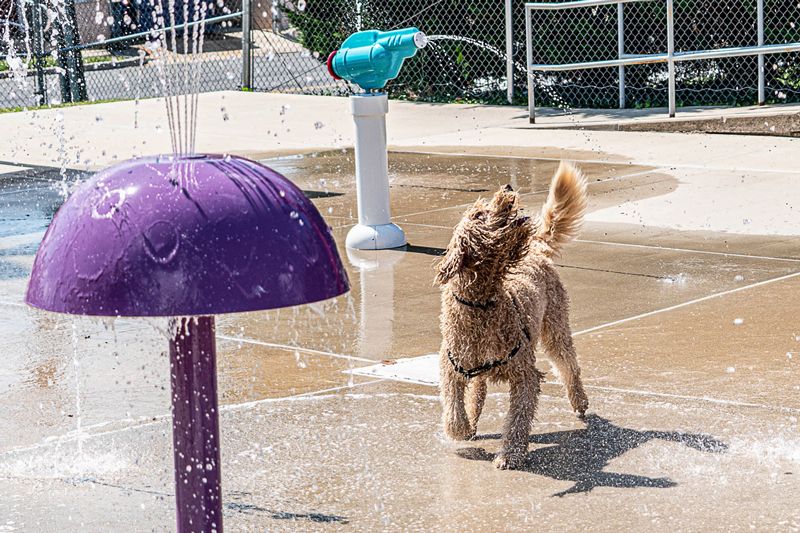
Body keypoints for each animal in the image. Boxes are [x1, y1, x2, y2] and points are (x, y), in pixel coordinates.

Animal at [434, 163, 592, 470]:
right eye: (478, 215)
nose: (507, 187)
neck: (482, 303)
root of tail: (536, 250)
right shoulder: (451, 367)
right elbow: (453, 410)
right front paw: (463, 428)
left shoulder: (525, 375)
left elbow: (518, 419)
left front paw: (510, 454)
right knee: (478, 389)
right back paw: (473, 418)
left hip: (555, 329)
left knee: (569, 367)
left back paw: (579, 401)